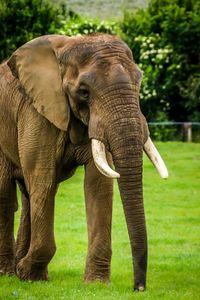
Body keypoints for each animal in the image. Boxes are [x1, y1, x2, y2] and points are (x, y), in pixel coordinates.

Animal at [0, 33, 169, 290]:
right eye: (84, 92)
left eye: (139, 82)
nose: (138, 287)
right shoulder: (36, 111)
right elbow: (43, 179)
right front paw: (29, 274)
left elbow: (98, 184)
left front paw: (96, 284)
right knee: (7, 196)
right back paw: (9, 274)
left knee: (27, 197)